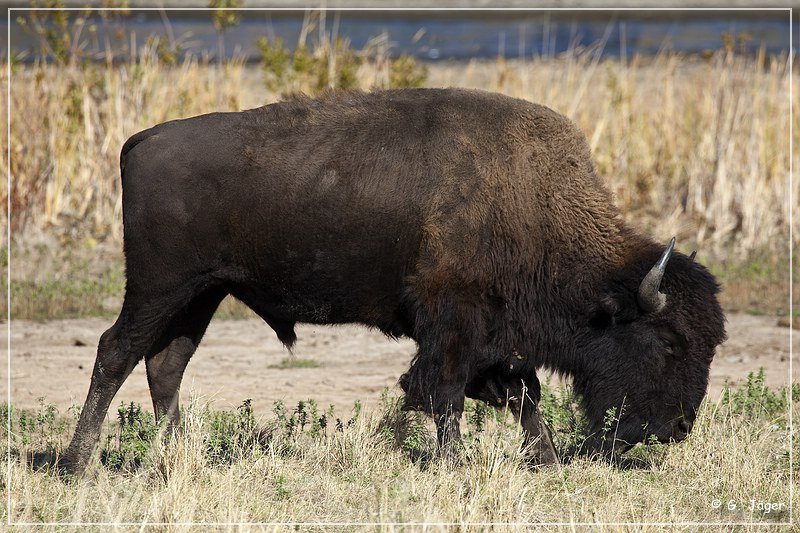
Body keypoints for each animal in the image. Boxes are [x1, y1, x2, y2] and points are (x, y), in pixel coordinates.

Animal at [61, 88, 724, 474]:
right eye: (668, 343)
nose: (677, 429)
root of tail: (140, 140)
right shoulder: (453, 326)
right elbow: (444, 390)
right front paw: (452, 463)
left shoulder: (490, 336)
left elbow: (517, 390)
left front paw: (545, 459)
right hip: (160, 286)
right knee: (117, 351)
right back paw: (76, 462)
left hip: (202, 293)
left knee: (166, 362)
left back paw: (178, 457)